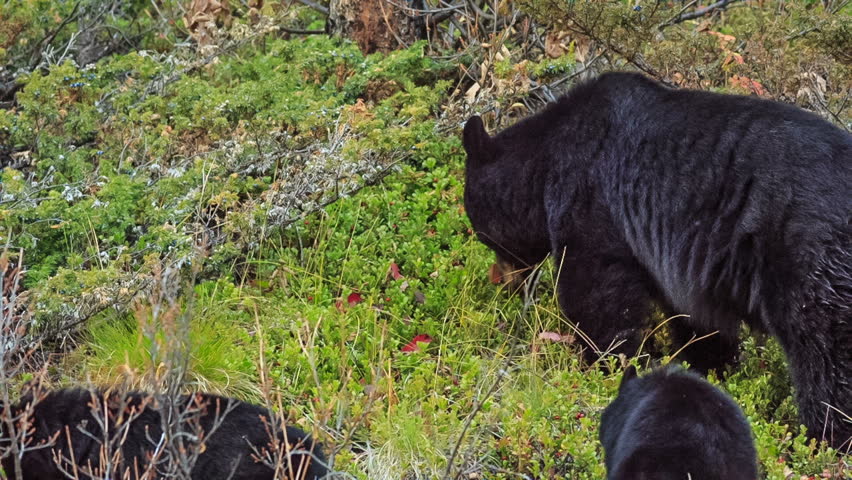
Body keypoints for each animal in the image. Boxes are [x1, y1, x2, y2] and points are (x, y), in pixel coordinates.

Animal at [462, 71, 851, 448]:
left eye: (481, 232)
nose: (503, 281)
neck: (543, 165)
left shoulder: (590, 196)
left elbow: (596, 291)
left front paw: (607, 363)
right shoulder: (679, 261)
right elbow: (695, 318)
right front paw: (706, 367)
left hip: (808, 255)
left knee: (823, 351)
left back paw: (825, 435)